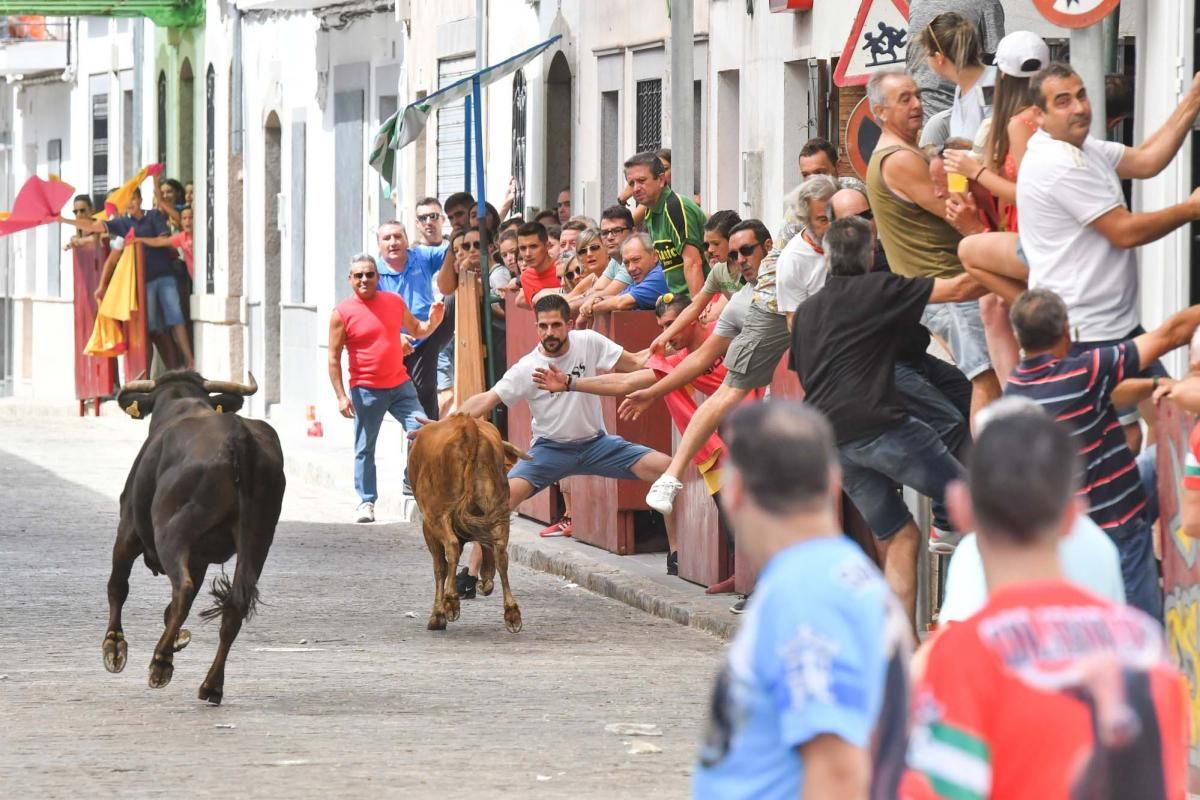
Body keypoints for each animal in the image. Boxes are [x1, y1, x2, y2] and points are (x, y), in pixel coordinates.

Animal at [103, 371, 285, 705]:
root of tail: (238, 435)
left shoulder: (129, 530)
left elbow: (118, 586)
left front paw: (114, 646)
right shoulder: (200, 558)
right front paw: (178, 638)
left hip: (171, 533)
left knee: (183, 589)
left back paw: (161, 663)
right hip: (258, 539)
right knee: (233, 607)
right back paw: (211, 685)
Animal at [408, 417, 525, 633]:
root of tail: (467, 424)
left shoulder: (428, 527)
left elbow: (440, 567)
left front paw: (437, 615)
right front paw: (486, 581)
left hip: (437, 516)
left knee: (452, 548)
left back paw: (451, 602)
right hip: (498, 509)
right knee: (501, 554)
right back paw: (512, 614)